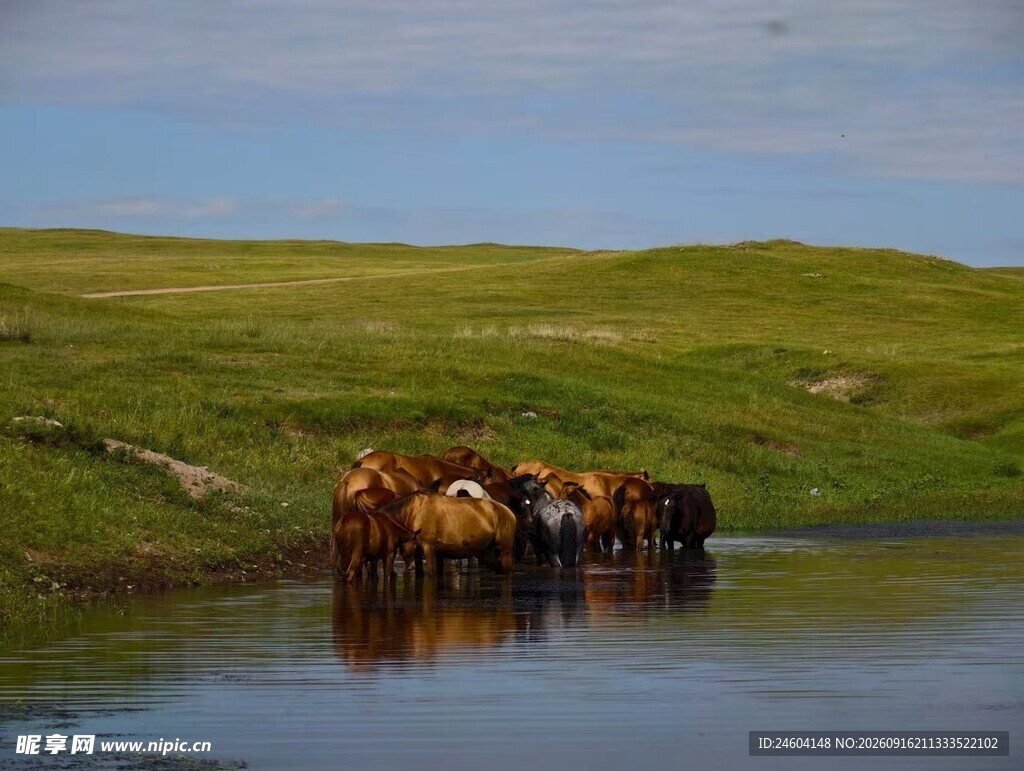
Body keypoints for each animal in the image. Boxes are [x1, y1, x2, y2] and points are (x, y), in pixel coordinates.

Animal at [378, 492, 517, 578]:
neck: (412, 513)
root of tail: (510, 513)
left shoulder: (429, 548)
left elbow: (432, 575)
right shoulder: (420, 554)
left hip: (505, 552)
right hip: (487, 554)